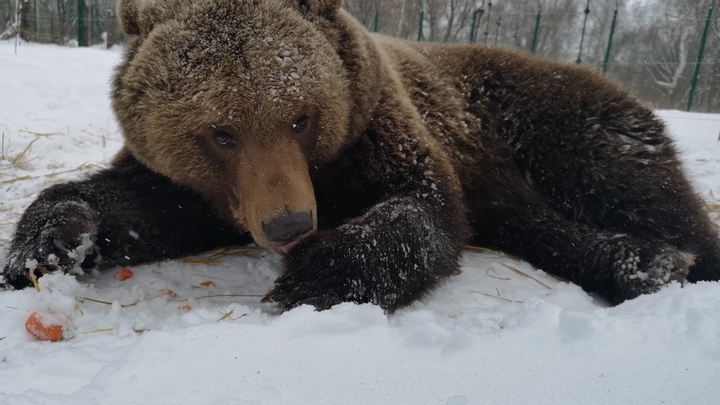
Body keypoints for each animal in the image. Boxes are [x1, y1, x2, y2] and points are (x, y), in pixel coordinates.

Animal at [1, 0, 720, 310]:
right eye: (220, 131)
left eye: (301, 115)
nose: (290, 224)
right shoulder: (213, 187)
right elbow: (147, 204)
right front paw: (52, 238)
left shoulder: (382, 128)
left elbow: (423, 210)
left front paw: (315, 273)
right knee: (533, 220)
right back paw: (639, 262)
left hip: (549, 120)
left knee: (637, 184)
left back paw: (672, 256)